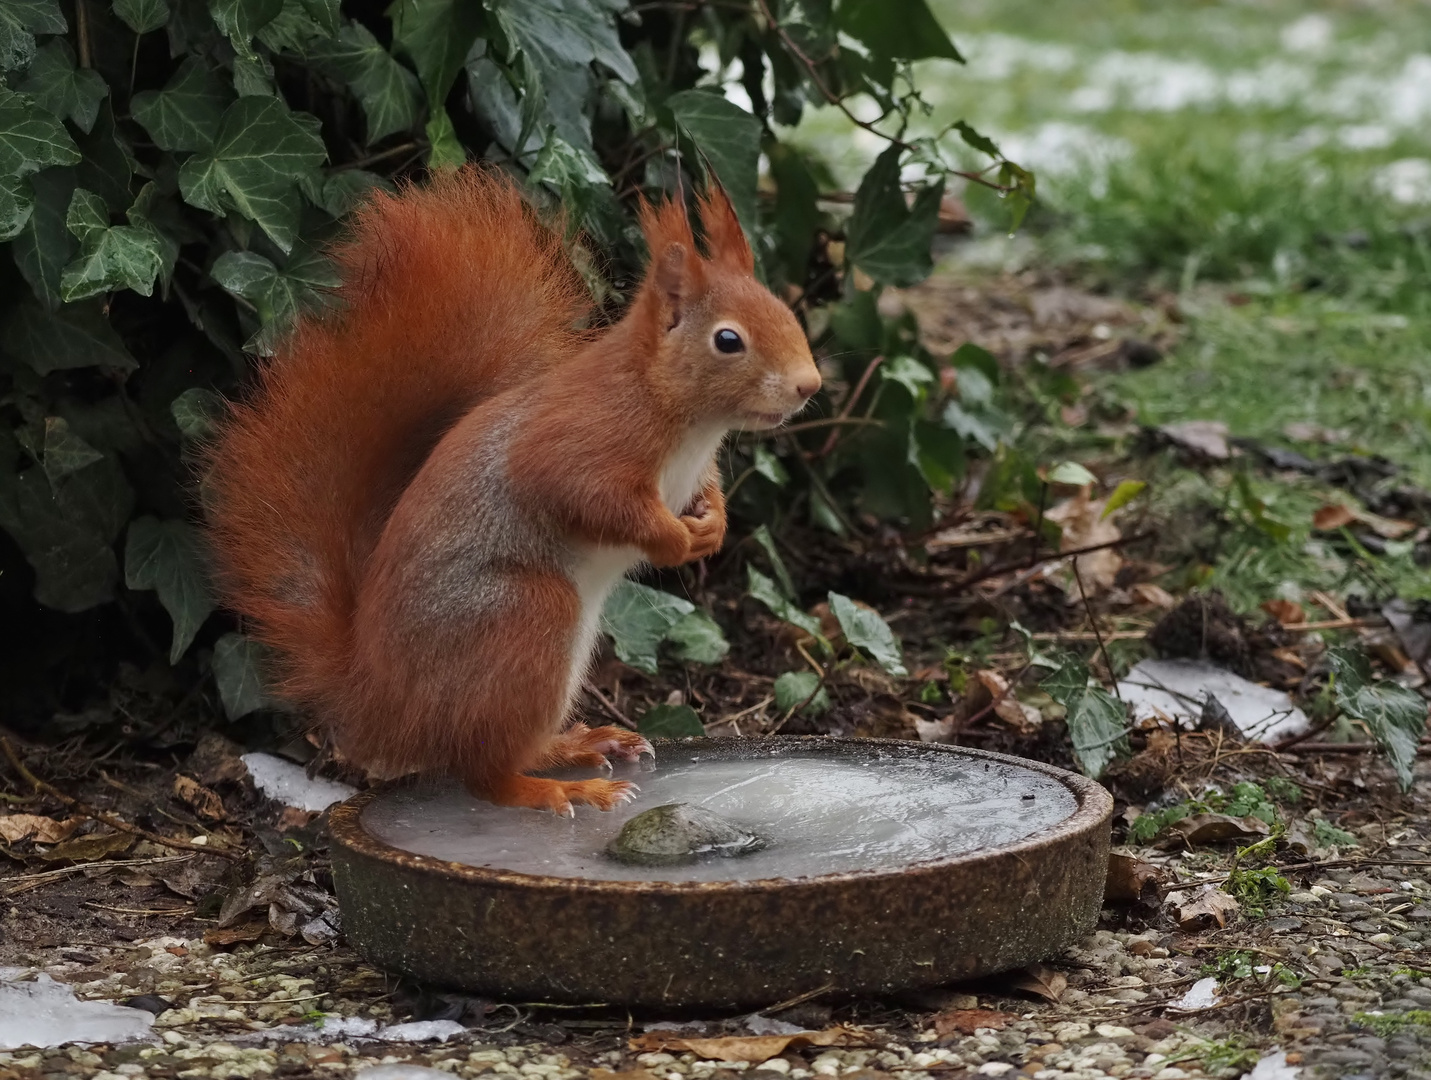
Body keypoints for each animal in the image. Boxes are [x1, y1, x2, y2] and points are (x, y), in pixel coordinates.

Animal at [207, 166, 824, 812]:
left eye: (785, 311)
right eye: (728, 341)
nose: (809, 384)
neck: (684, 415)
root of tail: (377, 699)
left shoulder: (692, 468)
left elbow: (707, 493)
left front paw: (711, 526)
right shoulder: (579, 439)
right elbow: (588, 495)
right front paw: (673, 540)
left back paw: (580, 745)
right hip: (526, 615)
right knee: (483, 773)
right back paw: (557, 790)